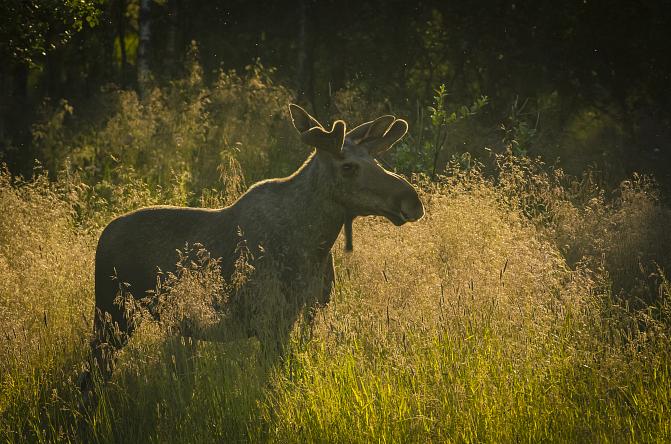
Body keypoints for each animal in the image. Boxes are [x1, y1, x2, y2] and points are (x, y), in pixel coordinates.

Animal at [80, 104, 424, 400]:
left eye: (375, 160)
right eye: (349, 167)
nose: (412, 200)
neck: (314, 243)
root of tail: (102, 236)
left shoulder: (310, 311)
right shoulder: (269, 320)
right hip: (111, 314)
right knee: (91, 375)